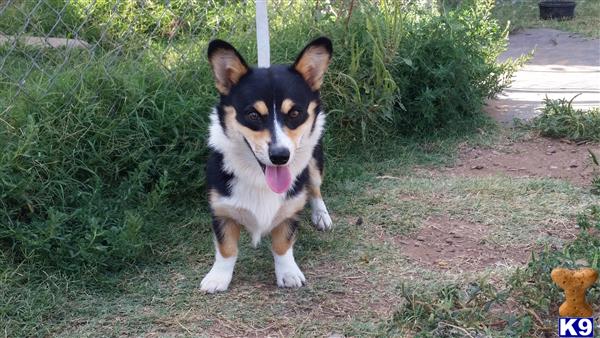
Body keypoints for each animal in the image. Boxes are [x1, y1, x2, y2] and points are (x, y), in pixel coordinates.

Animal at [200, 36, 332, 290]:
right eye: (252, 115)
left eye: (295, 113)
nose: (280, 156)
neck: (258, 178)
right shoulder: (221, 209)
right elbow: (226, 248)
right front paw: (218, 278)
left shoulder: (291, 207)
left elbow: (283, 244)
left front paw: (288, 273)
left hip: (314, 161)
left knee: (315, 188)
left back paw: (321, 215)